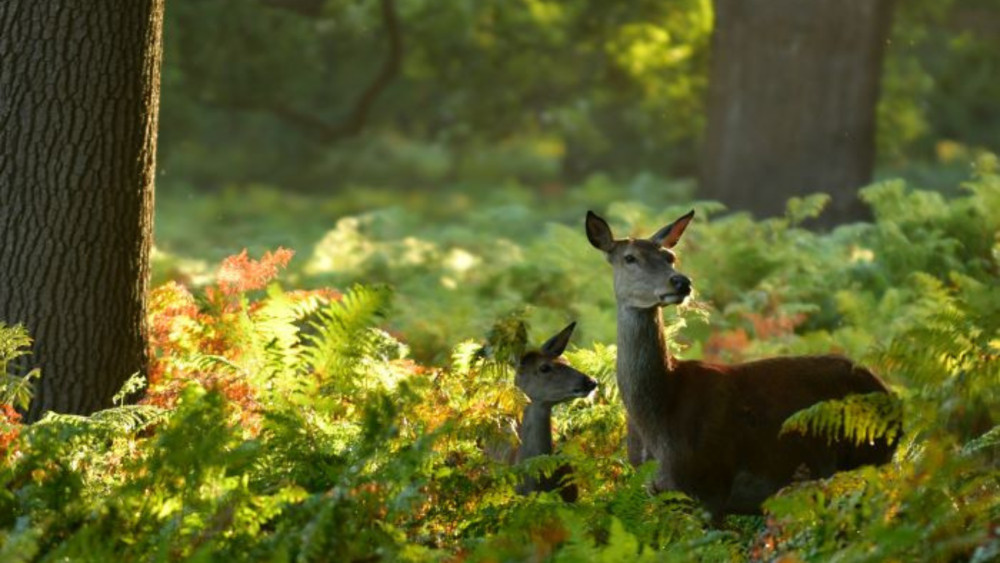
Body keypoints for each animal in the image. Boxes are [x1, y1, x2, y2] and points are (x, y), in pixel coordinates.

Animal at [585, 209, 898, 518]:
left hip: (869, 460)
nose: (681, 282)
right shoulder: (658, 495)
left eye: (669, 257)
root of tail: (889, 393)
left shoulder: (711, 487)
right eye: (629, 258)